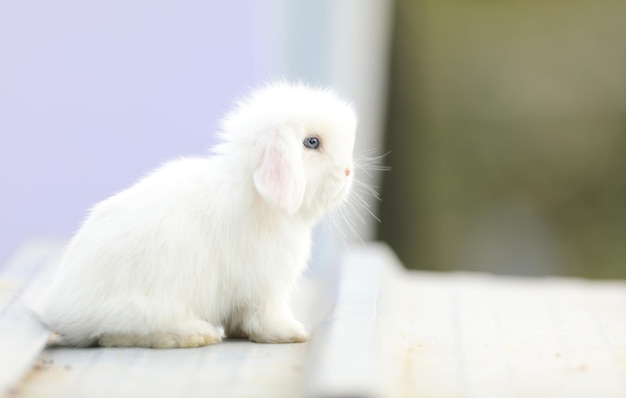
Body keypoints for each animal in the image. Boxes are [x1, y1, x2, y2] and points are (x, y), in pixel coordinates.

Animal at [34, 81, 356, 348]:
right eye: (312, 142)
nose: (348, 172)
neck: (256, 195)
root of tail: (61, 309)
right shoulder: (266, 287)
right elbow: (266, 316)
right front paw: (292, 333)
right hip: (147, 304)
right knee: (120, 333)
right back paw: (195, 334)